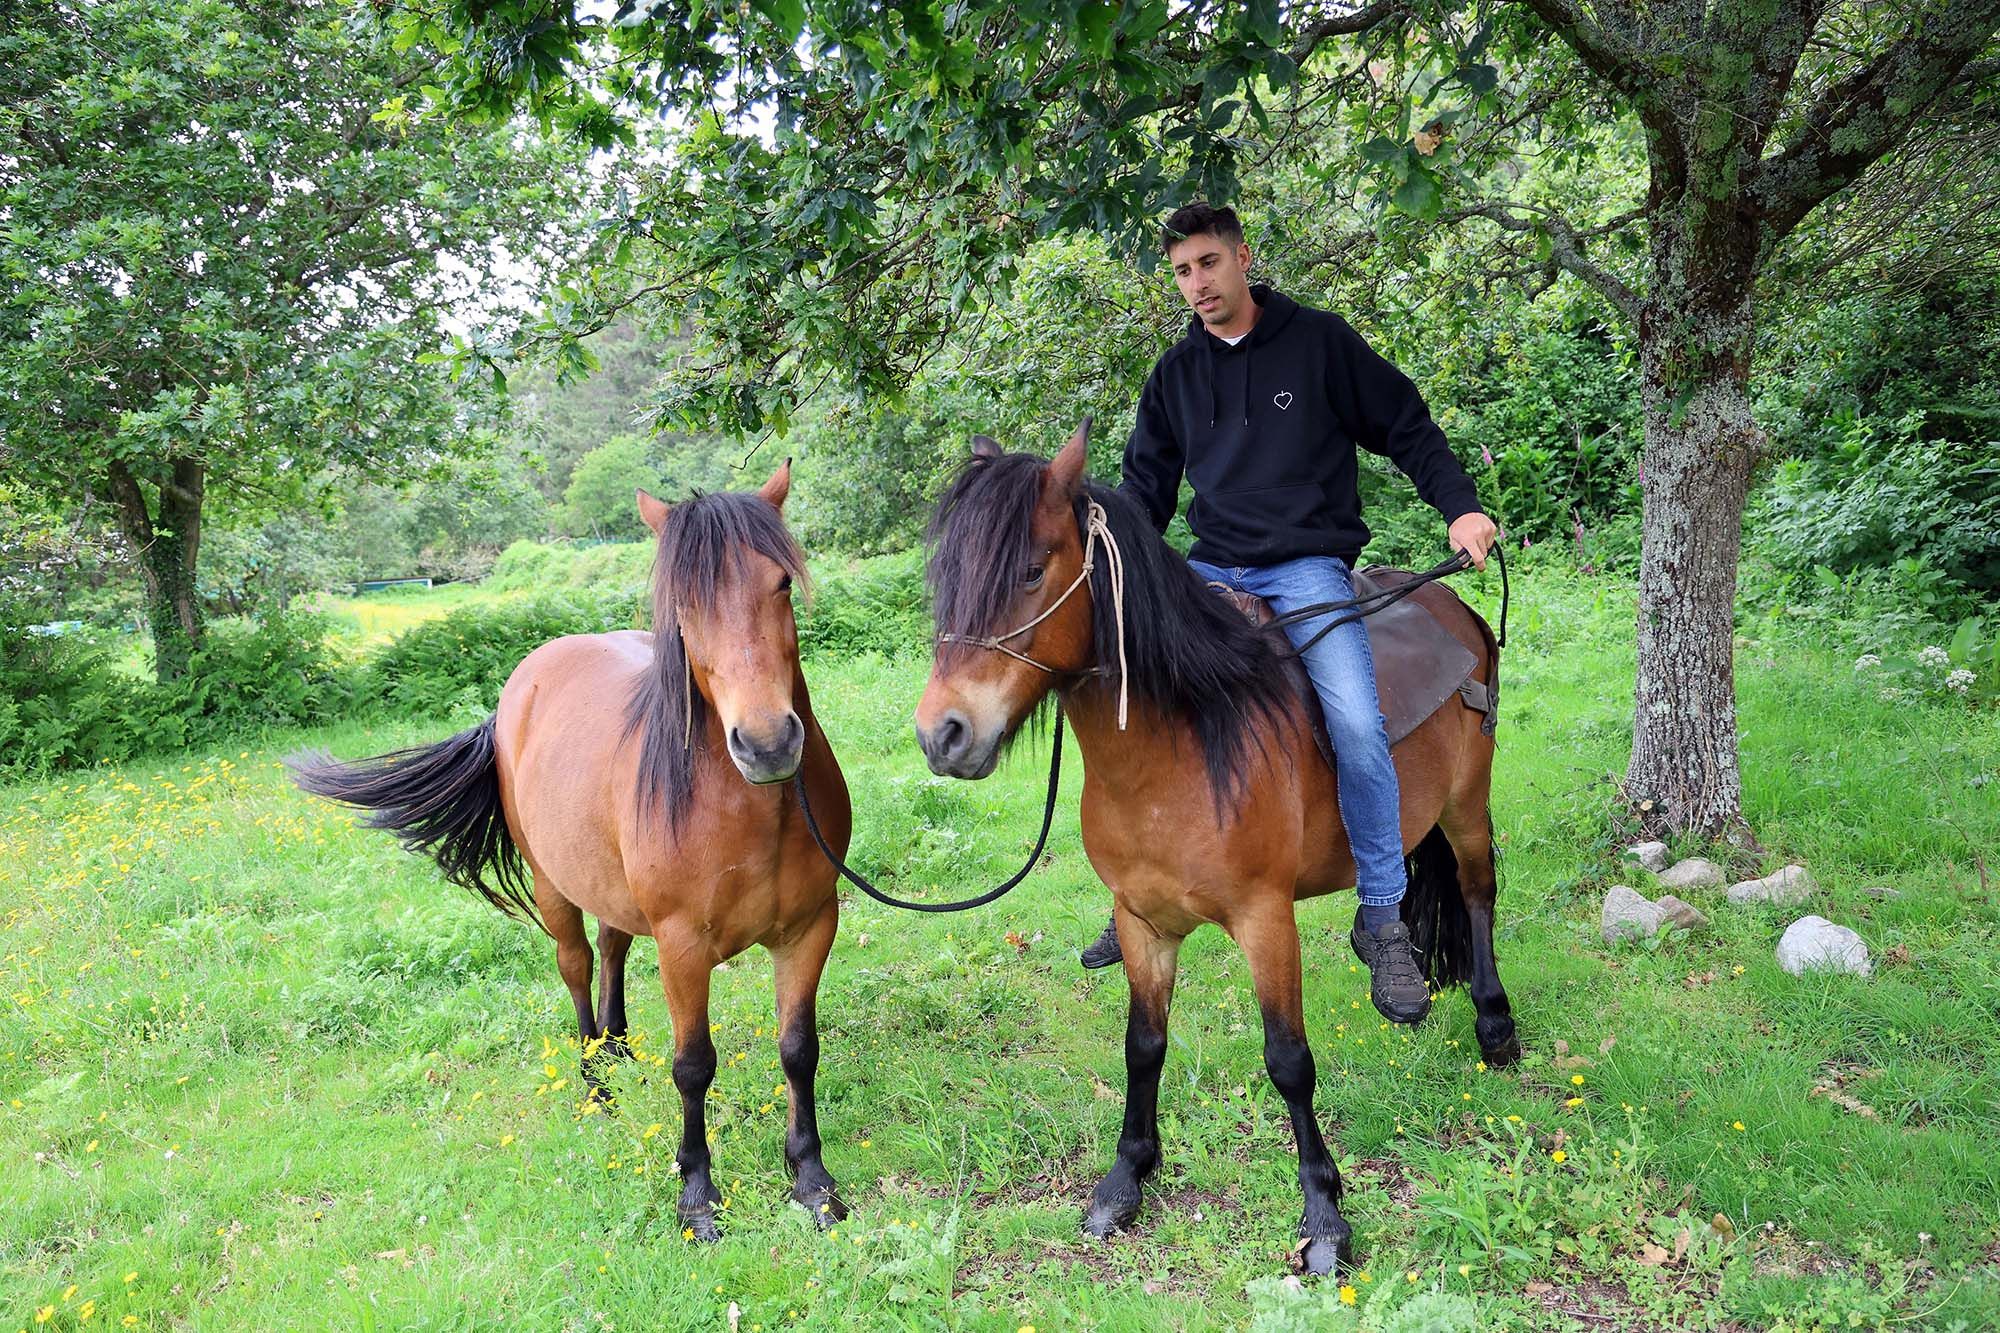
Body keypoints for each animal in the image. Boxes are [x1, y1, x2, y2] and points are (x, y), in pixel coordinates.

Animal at [296, 464, 852, 1232]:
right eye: (684, 606)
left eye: (781, 583)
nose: (768, 743)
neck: (749, 807)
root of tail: (520, 686)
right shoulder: (683, 945)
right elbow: (693, 1065)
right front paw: (696, 1193)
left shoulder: (809, 928)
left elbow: (799, 1051)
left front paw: (811, 1180)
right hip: (551, 885)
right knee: (578, 964)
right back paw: (594, 1081)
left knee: (613, 948)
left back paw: (615, 1048)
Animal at [912, 422, 1512, 1264]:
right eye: (949, 576)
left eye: (1031, 570)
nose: (943, 734)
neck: (1186, 744)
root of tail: (1454, 605)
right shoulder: (1141, 921)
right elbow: (1143, 1045)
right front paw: (1125, 1179)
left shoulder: (1266, 920)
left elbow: (1288, 1061)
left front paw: (1324, 1214)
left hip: (1465, 808)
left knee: (1478, 895)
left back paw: (1495, 1025)